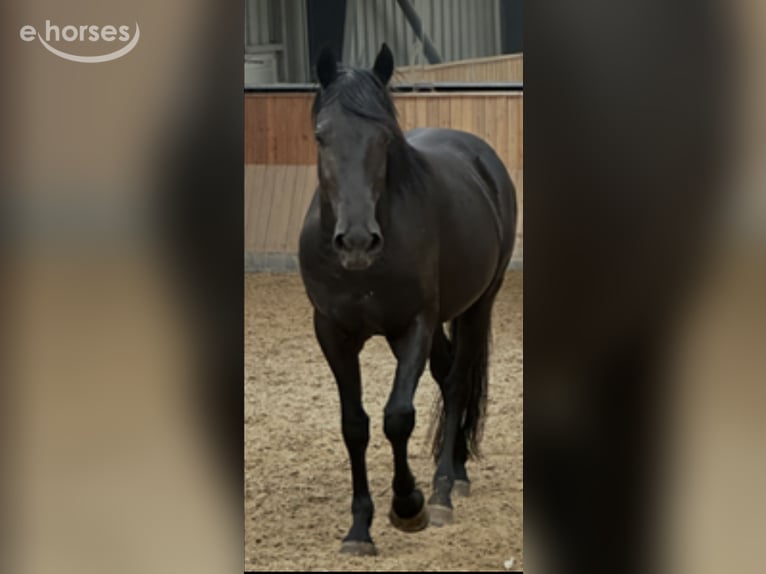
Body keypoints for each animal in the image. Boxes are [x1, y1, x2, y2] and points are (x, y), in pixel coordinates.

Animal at [298, 43, 517, 556]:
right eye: (321, 136)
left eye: (384, 137)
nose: (357, 241)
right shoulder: (332, 333)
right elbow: (354, 425)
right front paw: (359, 529)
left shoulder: (413, 326)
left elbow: (398, 416)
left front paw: (408, 505)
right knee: (446, 374)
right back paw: (456, 470)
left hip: (478, 306)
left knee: (456, 383)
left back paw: (442, 489)